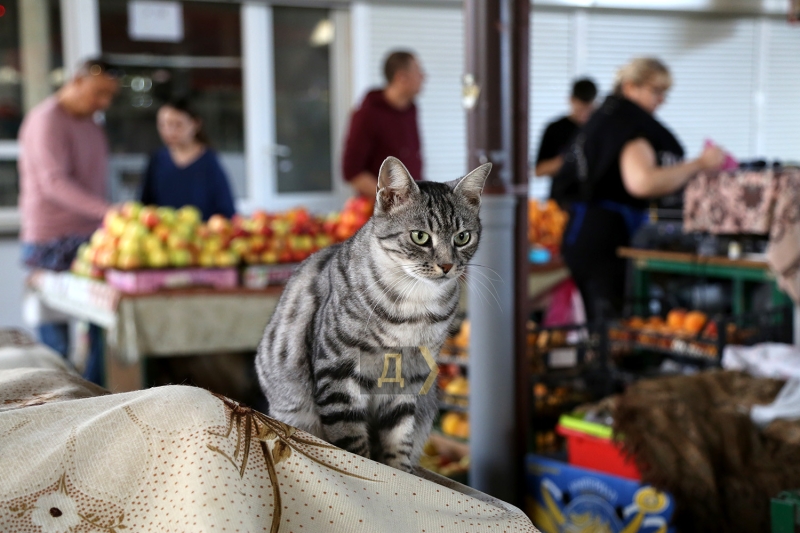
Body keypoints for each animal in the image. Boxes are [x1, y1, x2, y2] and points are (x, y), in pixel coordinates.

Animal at [260, 155, 490, 470]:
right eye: (420, 237)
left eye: (463, 237)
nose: (446, 265)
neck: (414, 305)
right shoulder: (338, 372)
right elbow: (354, 445)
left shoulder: (409, 378)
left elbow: (397, 439)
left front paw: (400, 472)